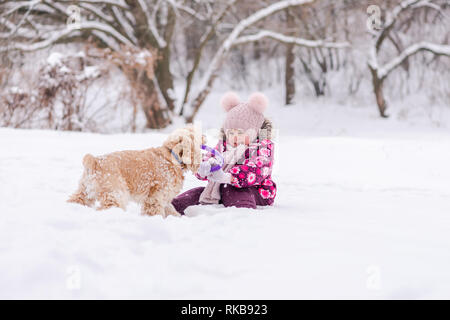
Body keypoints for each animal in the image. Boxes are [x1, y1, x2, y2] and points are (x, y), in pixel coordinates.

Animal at [68, 125, 202, 218]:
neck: (170, 156)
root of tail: (95, 161)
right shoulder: (155, 197)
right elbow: (156, 211)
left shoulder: (164, 197)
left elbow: (170, 209)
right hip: (115, 193)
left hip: (85, 192)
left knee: (75, 200)